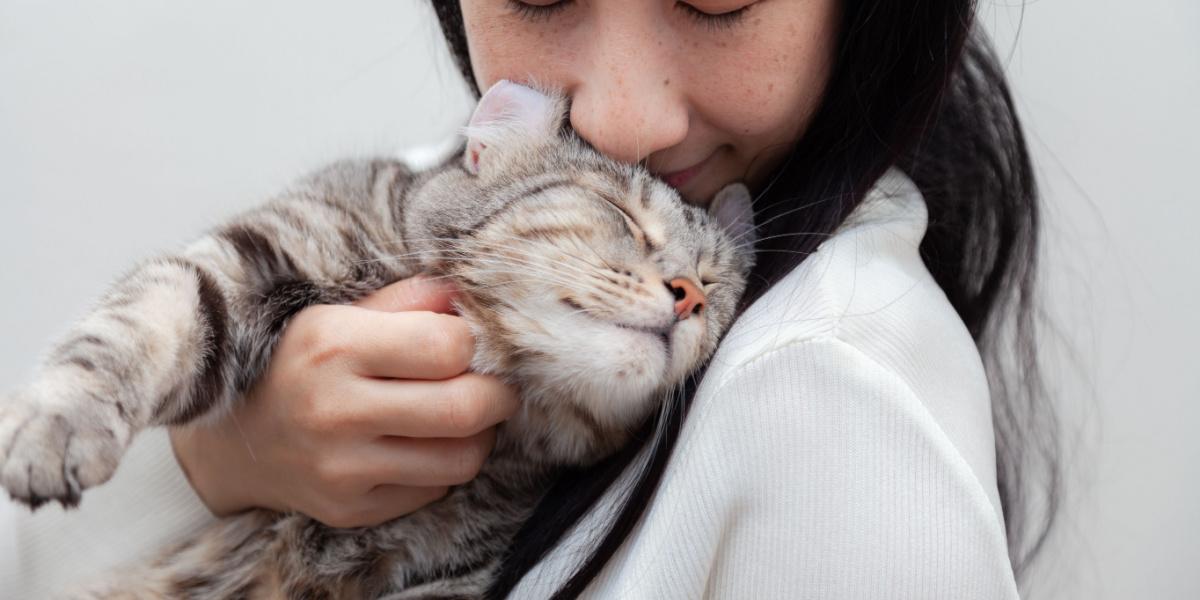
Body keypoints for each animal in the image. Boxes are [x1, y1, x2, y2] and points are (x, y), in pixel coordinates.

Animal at [0, 81, 748, 600]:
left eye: (716, 284)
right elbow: (138, 323)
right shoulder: (259, 250)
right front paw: (55, 424)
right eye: (622, 214)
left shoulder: (440, 579)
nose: (688, 294)